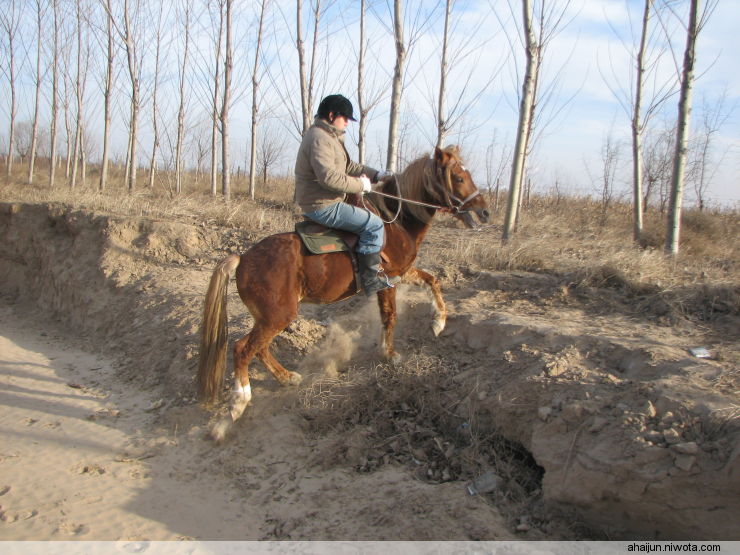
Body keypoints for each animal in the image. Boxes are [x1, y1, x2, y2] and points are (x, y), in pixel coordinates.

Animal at [197, 144, 488, 444]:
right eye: (459, 177)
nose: (484, 211)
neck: (396, 223)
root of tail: (242, 259)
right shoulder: (388, 281)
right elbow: (390, 316)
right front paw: (390, 354)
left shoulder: (403, 273)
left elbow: (433, 281)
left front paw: (438, 322)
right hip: (277, 317)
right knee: (243, 349)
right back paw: (236, 407)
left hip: (268, 319)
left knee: (259, 349)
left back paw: (287, 378)